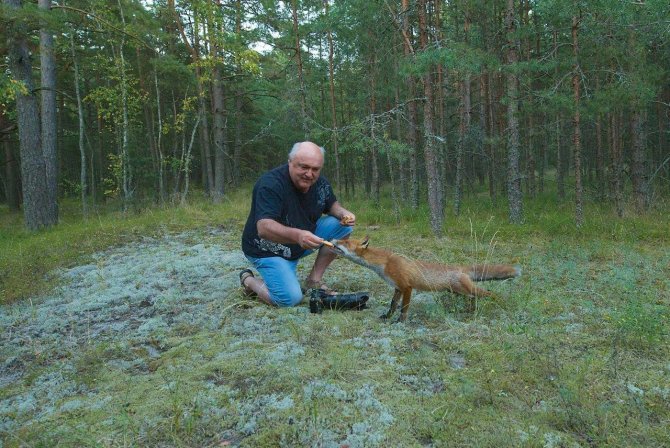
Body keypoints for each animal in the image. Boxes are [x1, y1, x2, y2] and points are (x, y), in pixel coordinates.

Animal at [334, 236, 524, 320]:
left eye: (345, 242)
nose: (333, 239)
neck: (384, 263)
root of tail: (460, 267)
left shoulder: (407, 287)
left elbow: (403, 308)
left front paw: (399, 322)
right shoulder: (397, 287)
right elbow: (393, 305)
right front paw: (387, 317)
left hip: (466, 289)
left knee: (491, 294)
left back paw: (503, 306)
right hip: (458, 291)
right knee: (473, 298)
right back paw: (470, 312)